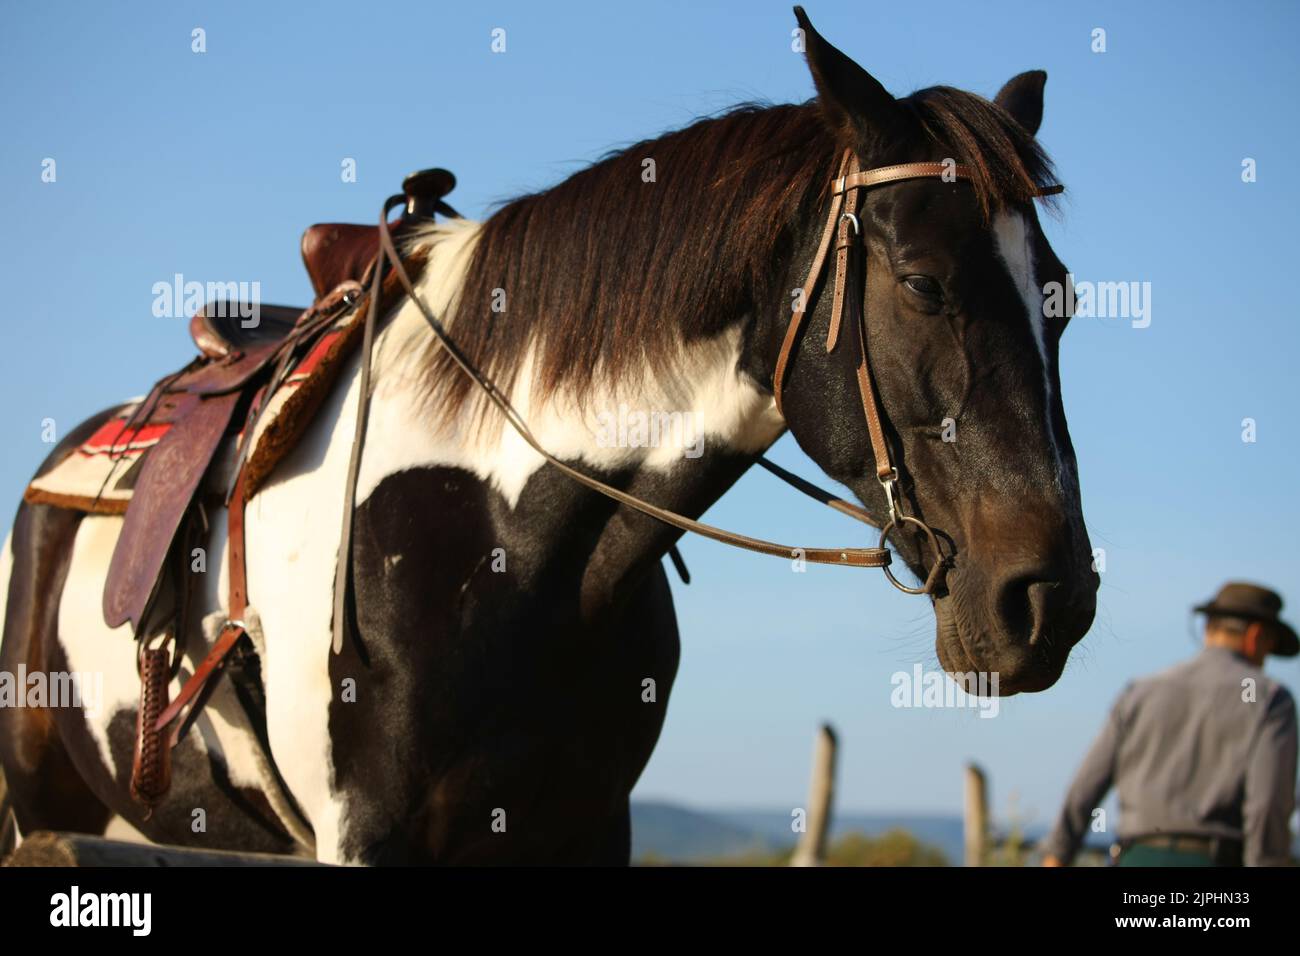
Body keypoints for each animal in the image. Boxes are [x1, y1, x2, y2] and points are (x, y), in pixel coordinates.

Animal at [0, 9, 1098, 864]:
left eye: (1065, 300)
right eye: (921, 283)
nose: (1050, 597)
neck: (506, 542)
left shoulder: (586, 827)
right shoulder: (366, 836)